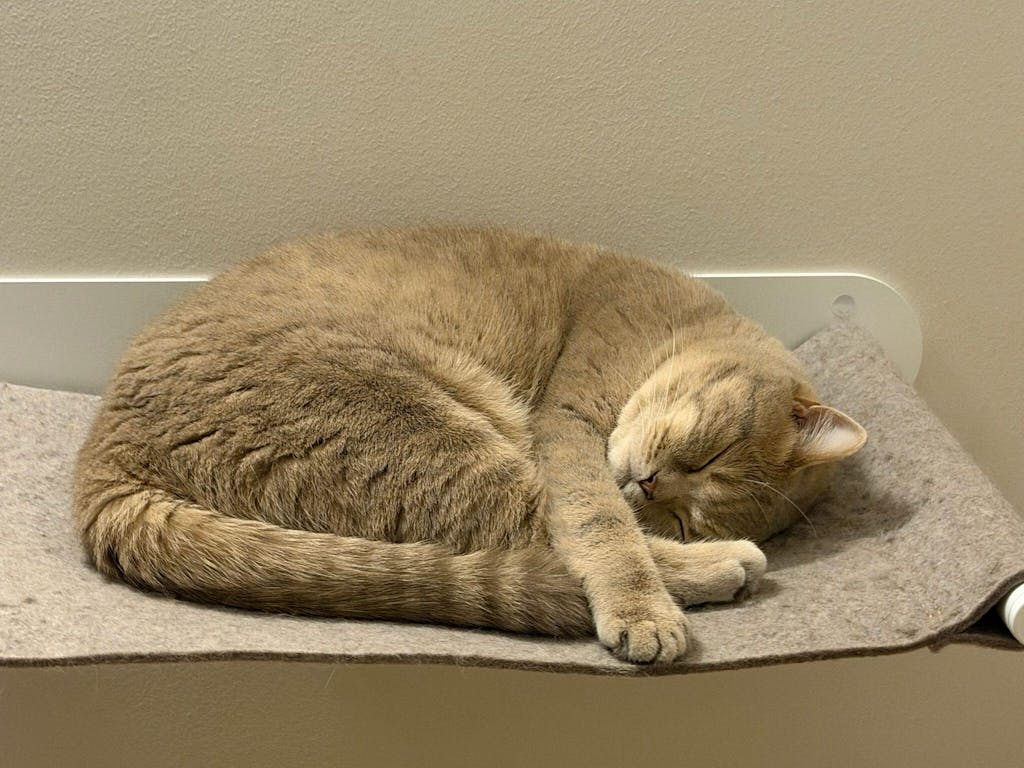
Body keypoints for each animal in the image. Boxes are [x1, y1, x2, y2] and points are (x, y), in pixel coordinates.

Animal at [72, 227, 866, 664]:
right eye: (706, 452)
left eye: (687, 509)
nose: (648, 486)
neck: (674, 323)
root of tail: (101, 458)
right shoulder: (568, 430)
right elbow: (602, 526)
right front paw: (644, 605)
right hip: (421, 430)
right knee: (541, 533)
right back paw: (722, 570)